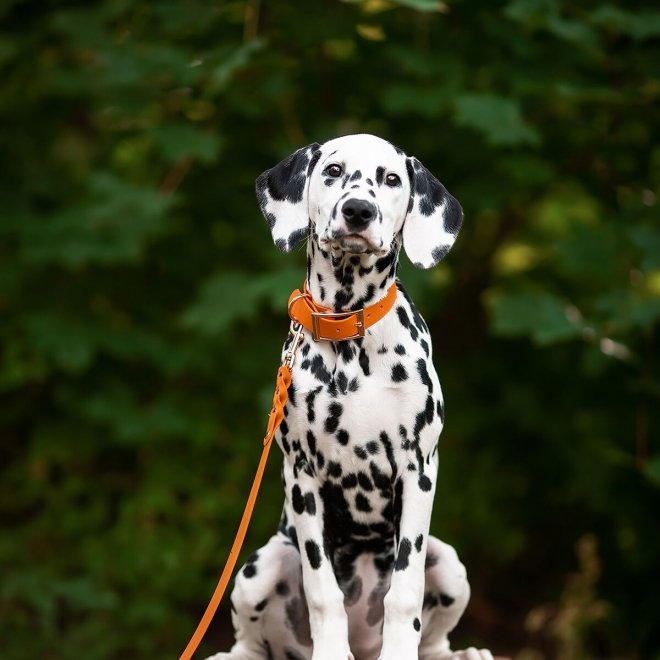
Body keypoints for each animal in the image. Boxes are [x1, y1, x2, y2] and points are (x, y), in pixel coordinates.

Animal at [209, 133, 492, 660]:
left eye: (392, 179)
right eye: (333, 171)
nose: (358, 210)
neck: (349, 331)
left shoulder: (419, 469)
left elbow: (406, 590)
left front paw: (400, 650)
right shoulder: (302, 475)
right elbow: (323, 590)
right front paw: (330, 651)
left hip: (448, 562)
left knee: (436, 637)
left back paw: (464, 652)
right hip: (262, 566)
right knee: (252, 643)